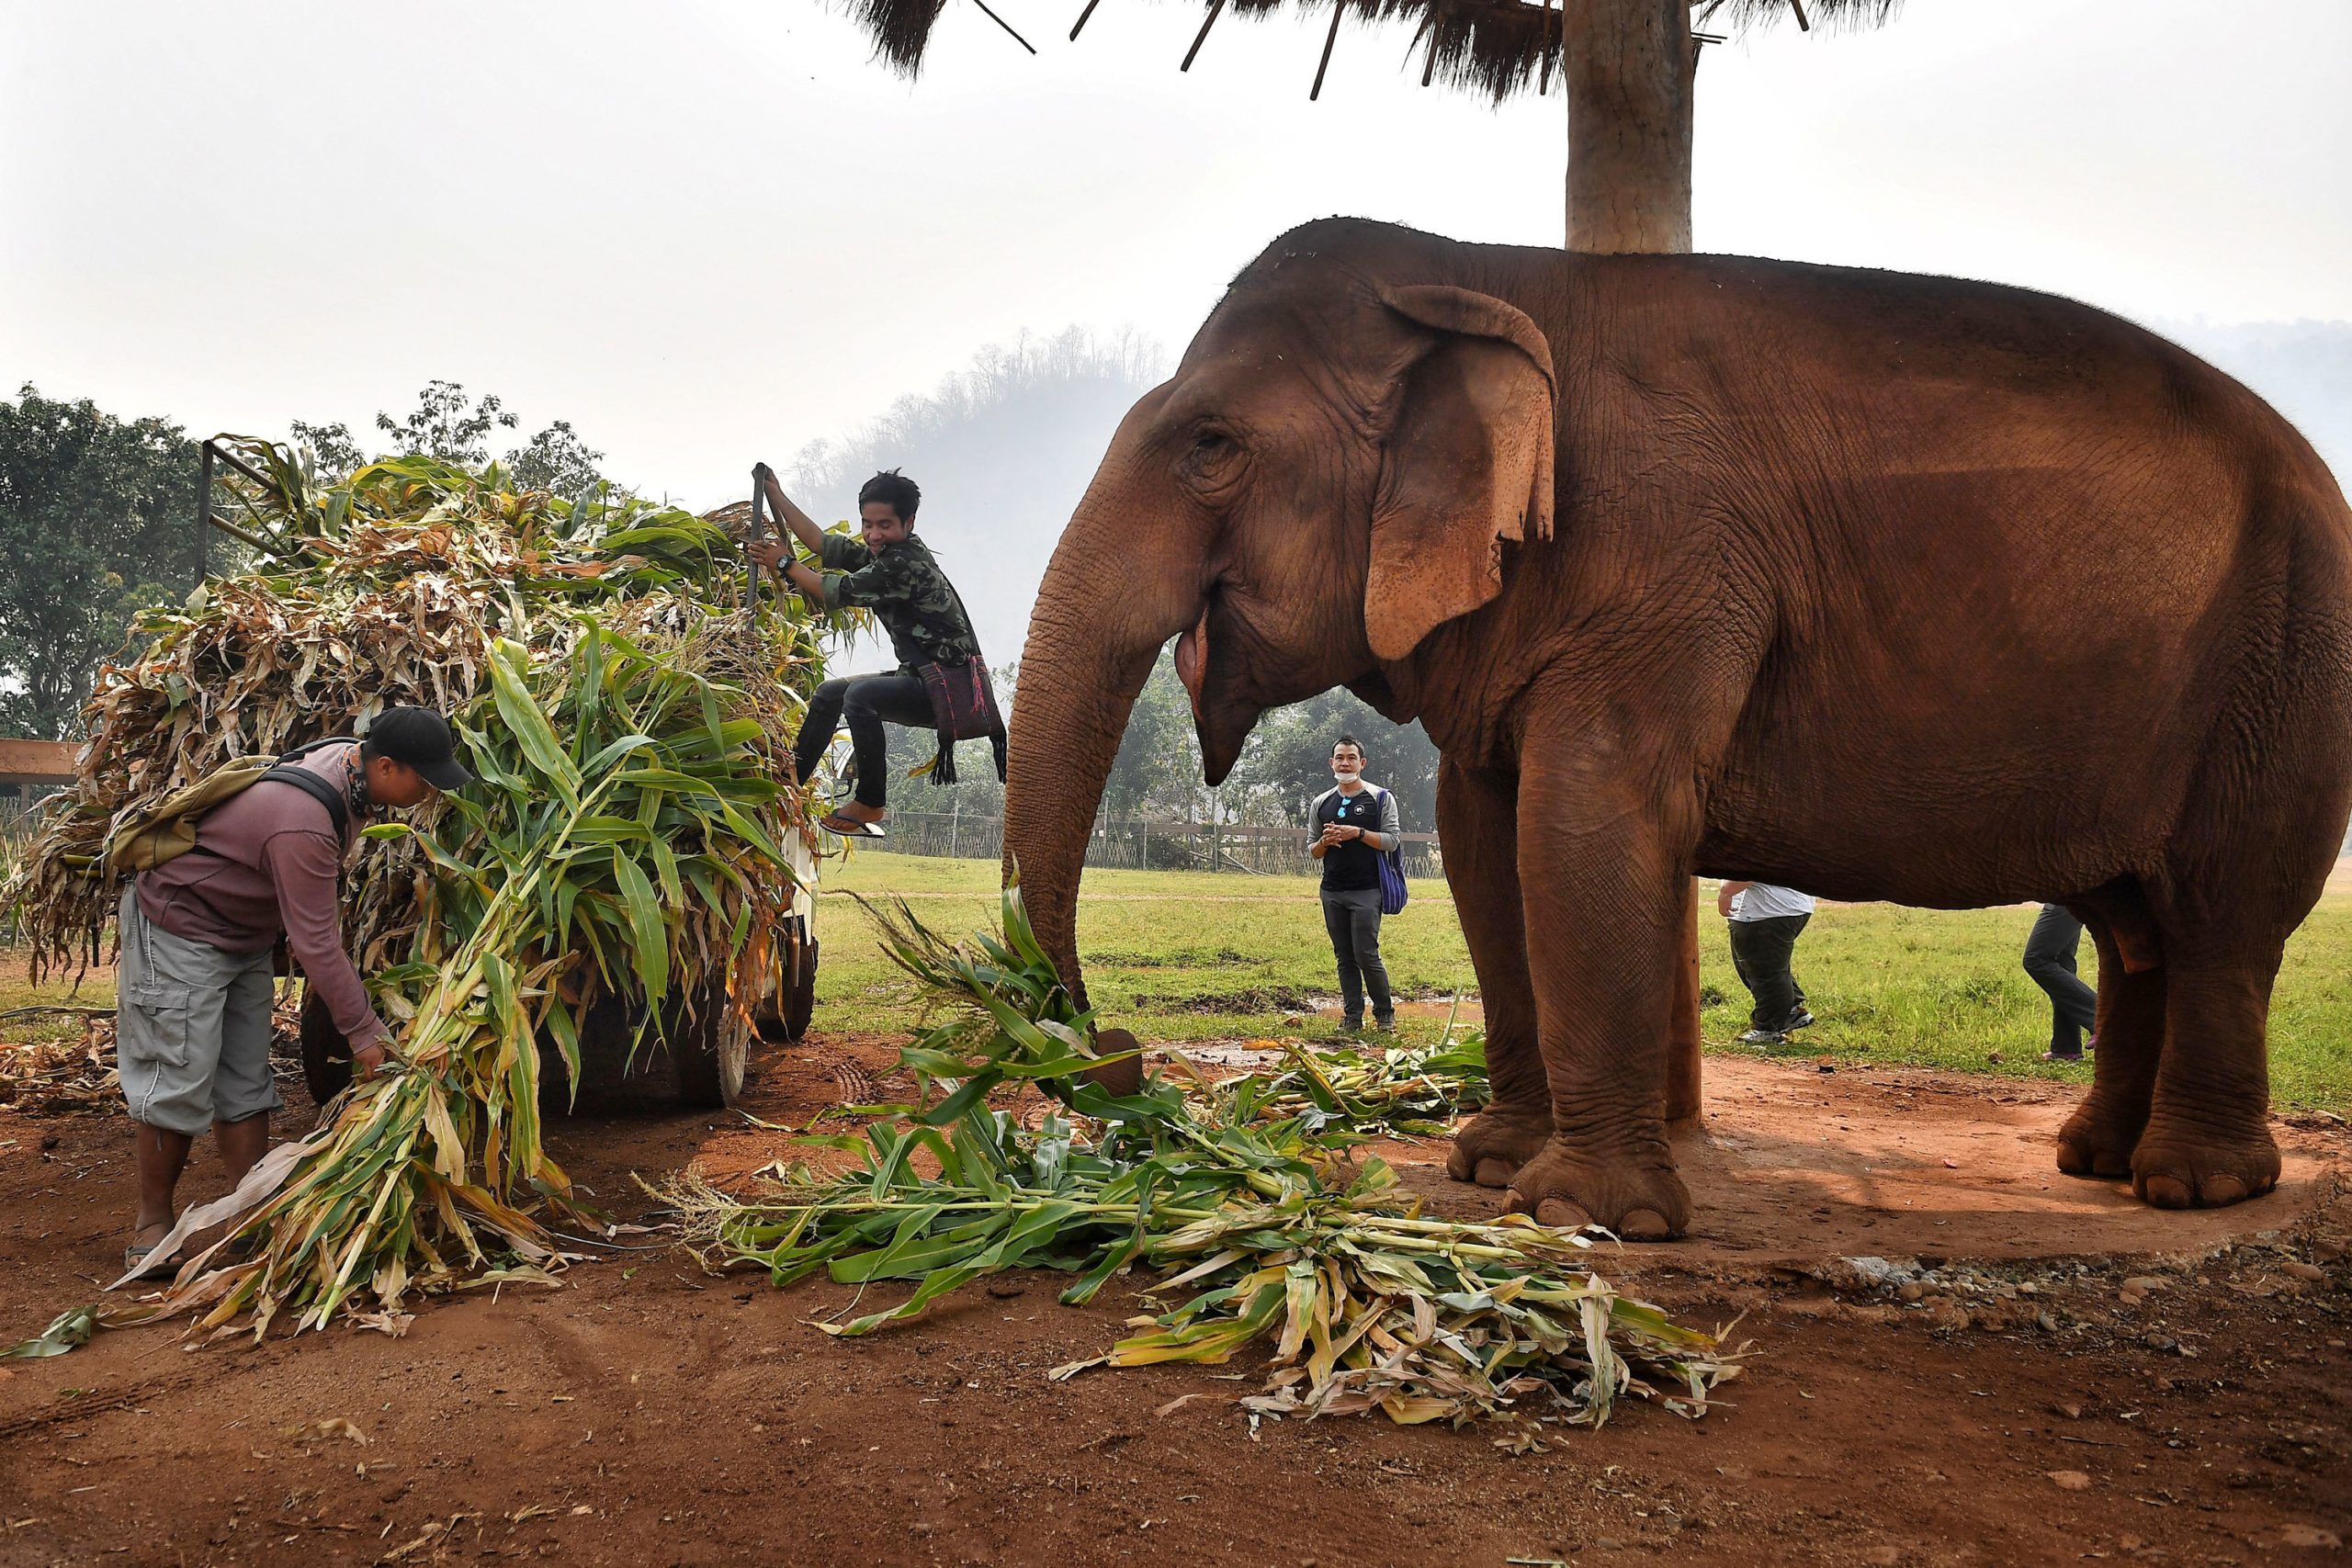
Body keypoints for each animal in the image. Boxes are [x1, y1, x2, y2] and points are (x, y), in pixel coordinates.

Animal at [997, 217, 2352, 1241]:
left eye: (1210, 443)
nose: (1110, 1054)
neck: (1473, 271)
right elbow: (1484, 840)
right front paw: (1489, 1165)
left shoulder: (1666, 561)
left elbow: (1583, 826)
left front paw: (1582, 1215)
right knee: (2135, 925)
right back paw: (2094, 1160)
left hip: (2283, 667)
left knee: (2219, 912)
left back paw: (2194, 1186)